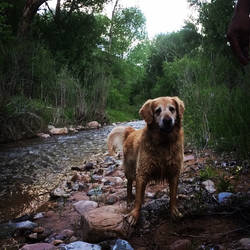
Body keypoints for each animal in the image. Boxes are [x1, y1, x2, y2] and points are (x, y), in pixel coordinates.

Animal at [106, 96, 185, 226]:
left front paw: (174, 211)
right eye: (158, 111)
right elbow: (137, 198)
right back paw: (129, 202)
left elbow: (173, 195)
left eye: (172, 109)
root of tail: (131, 132)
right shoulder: (142, 173)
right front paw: (134, 215)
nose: (168, 120)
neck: (164, 142)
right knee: (129, 185)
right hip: (130, 170)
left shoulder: (174, 172)